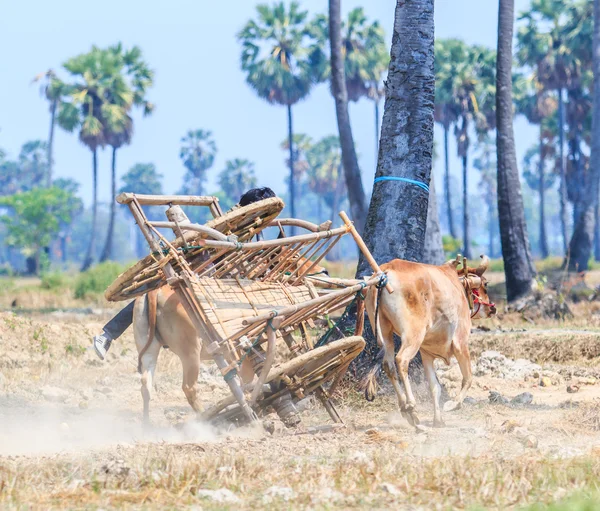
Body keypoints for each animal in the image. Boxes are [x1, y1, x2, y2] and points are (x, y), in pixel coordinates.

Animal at [364, 255, 494, 428]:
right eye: (485, 285)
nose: (493, 309)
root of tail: (385, 273)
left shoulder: (426, 354)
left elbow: (435, 388)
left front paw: (438, 420)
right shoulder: (461, 344)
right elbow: (468, 378)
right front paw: (453, 405)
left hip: (385, 333)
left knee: (388, 365)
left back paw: (404, 407)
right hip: (413, 334)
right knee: (401, 360)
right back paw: (411, 406)